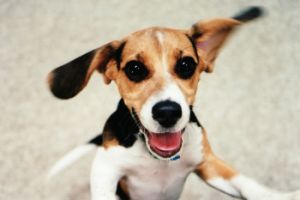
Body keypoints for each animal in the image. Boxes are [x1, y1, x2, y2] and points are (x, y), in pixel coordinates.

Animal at [48, 6, 298, 200]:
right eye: (134, 69)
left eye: (186, 65)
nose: (168, 112)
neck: (157, 159)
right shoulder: (106, 167)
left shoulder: (208, 163)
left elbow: (246, 183)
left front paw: (282, 196)